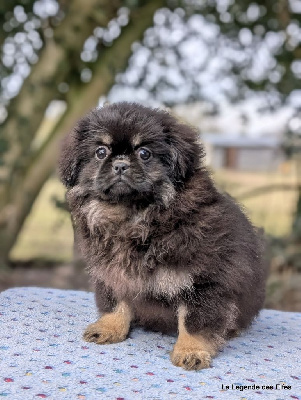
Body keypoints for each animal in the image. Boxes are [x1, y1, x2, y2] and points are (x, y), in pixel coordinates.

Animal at [58, 101, 264, 370]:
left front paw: (191, 351)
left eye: (144, 153)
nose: (120, 164)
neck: (134, 217)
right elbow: (116, 303)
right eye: (101, 152)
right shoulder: (113, 274)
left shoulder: (204, 280)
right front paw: (109, 328)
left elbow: (193, 320)